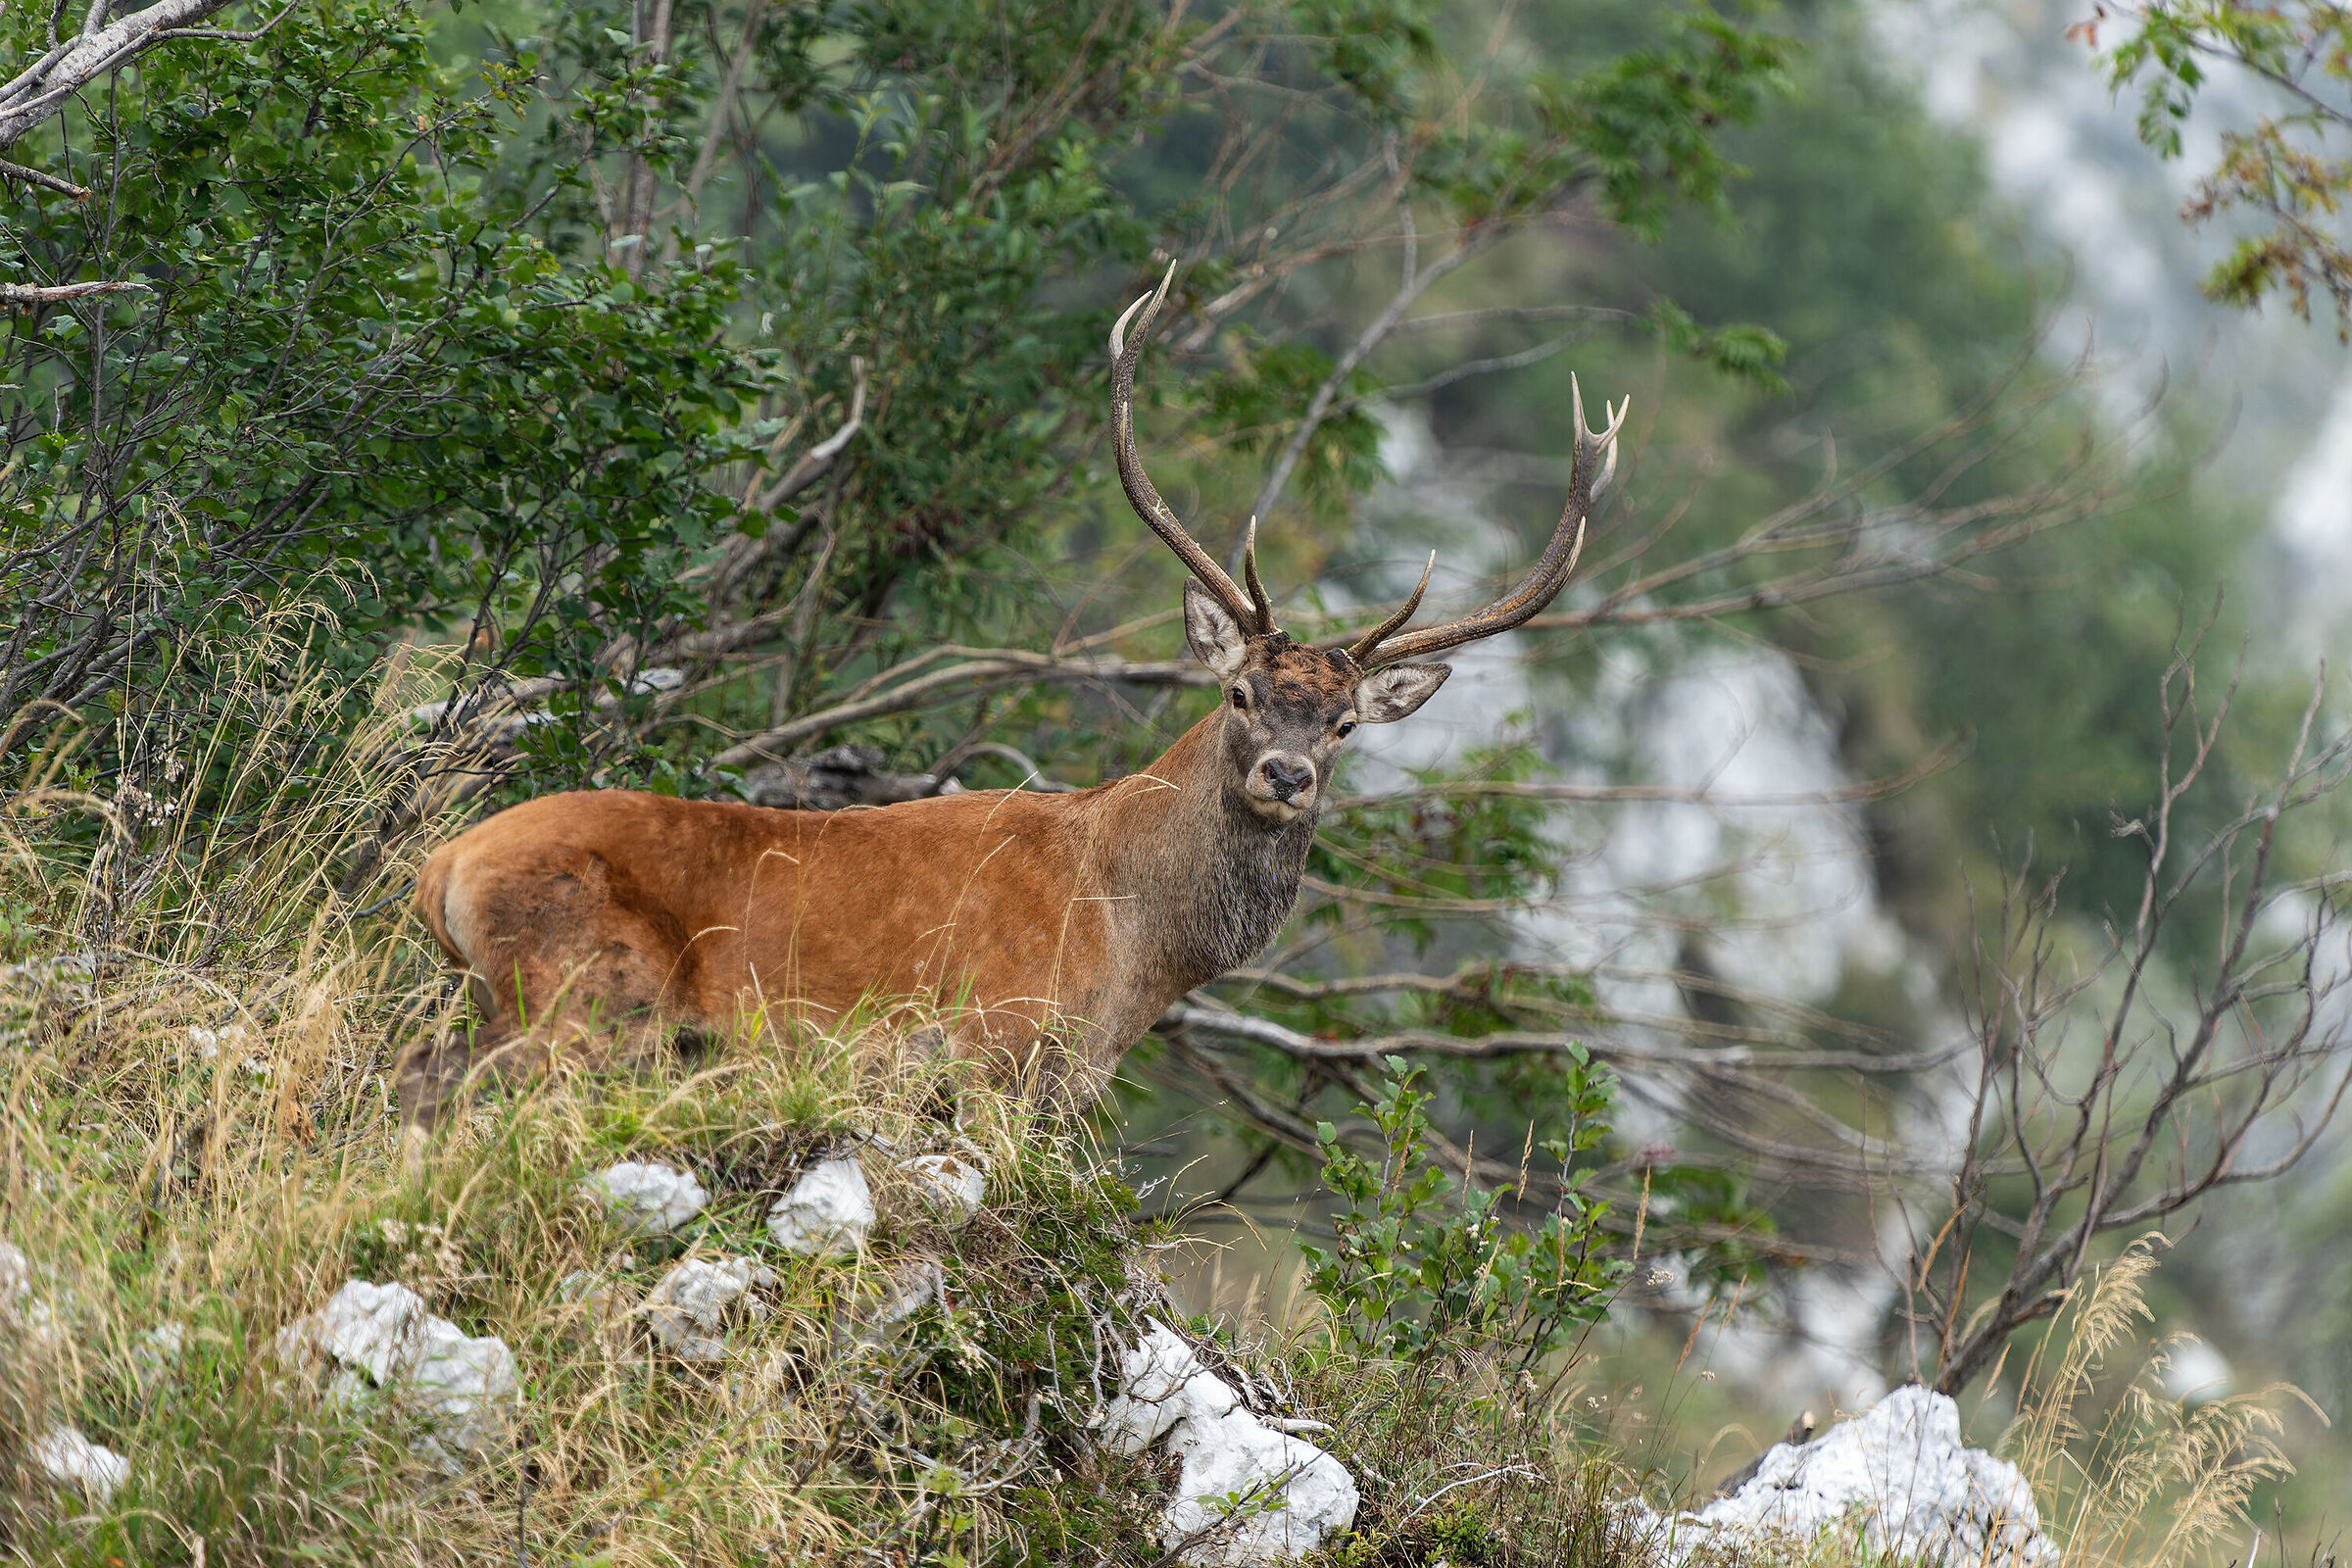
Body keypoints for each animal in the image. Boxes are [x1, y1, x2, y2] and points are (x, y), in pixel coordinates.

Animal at [394, 268, 1625, 1134]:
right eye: (1238, 690)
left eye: (1345, 723)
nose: (1288, 774)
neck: (1135, 950)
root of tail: (441, 867)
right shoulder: (995, 1054)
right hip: (577, 999)